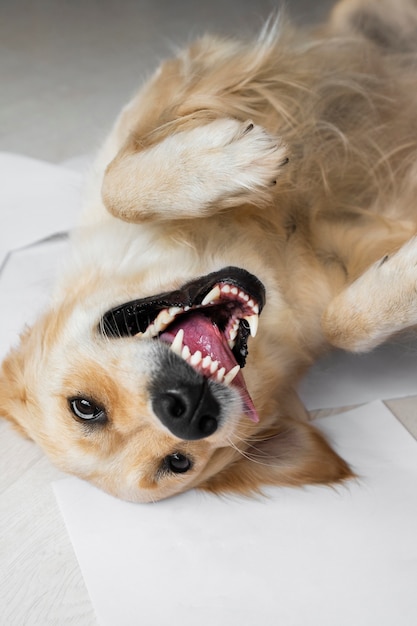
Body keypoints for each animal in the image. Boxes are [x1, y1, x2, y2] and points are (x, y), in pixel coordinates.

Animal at [0, 0, 416, 500]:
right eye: (178, 462)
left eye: (83, 407)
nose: (187, 411)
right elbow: (341, 327)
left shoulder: (160, 96)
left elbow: (115, 186)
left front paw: (225, 164)